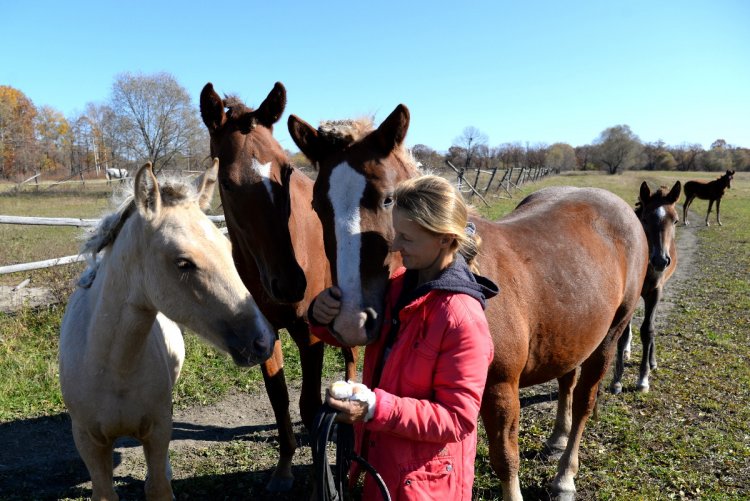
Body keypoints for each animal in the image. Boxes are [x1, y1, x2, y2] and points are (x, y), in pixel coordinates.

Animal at [58, 161, 276, 500]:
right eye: (183, 262)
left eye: (228, 247)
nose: (263, 341)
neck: (112, 367)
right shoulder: (89, 442)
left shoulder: (159, 429)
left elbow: (158, 485)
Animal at [197, 81, 356, 488]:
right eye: (226, 182)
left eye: (286, 171)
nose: (290, 284)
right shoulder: (266, 332)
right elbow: (279, 397)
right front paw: (284, 468)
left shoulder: (309, 333)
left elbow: (309, 404)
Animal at [290, 103, 652, 498]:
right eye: (317, 205)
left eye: (387, 198)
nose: (351, 320)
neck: (466, 274)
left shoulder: (500, 388)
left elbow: (505, 458)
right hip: (573, 330)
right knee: (567, 380)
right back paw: (556, 439)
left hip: (611, 334)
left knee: (585, 398)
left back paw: (565, 475)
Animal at [612, 180, 684, 394]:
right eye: (644, 219)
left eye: (675, 221)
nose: (660, 260)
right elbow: (623, 333)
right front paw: (617, 380)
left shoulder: (655, 292)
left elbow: (648, 330)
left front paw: (643, 379)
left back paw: (652, 362)